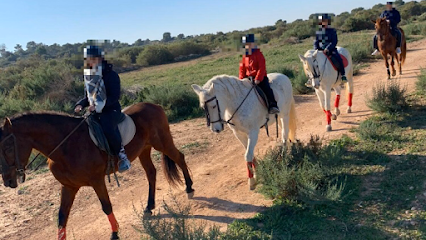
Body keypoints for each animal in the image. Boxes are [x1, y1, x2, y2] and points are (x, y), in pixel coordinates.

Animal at [0, 102, 195, 240]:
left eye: (8, 147)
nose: (8, 181)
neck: (66, 146)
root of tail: (155, 105)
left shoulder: (97, 181)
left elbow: (106, 206)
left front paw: (115, 233)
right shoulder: (68, 187)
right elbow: (62, 217)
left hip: (162, 143)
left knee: (179, 157)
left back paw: (189, 187)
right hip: (144, 150)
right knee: (151, 173)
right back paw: (149, 206)